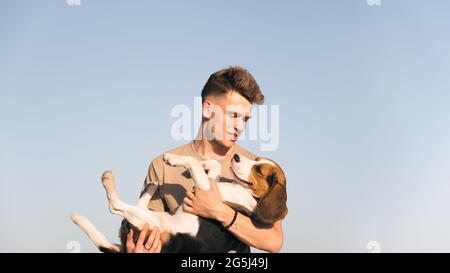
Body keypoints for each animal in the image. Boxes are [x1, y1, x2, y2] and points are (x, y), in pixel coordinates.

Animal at [71, 152, 286, 252]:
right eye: (255, 159)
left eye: (259, 170)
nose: (236, 156)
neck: (248, 194)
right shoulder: (209, 183)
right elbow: (213, 166)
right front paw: (205, 162)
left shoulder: (205, 190)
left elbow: (192, 161)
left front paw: (174, 159)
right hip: (152, 216)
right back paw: (151, 187)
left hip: (149, 221)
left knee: (115, 206)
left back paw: (109, 181)